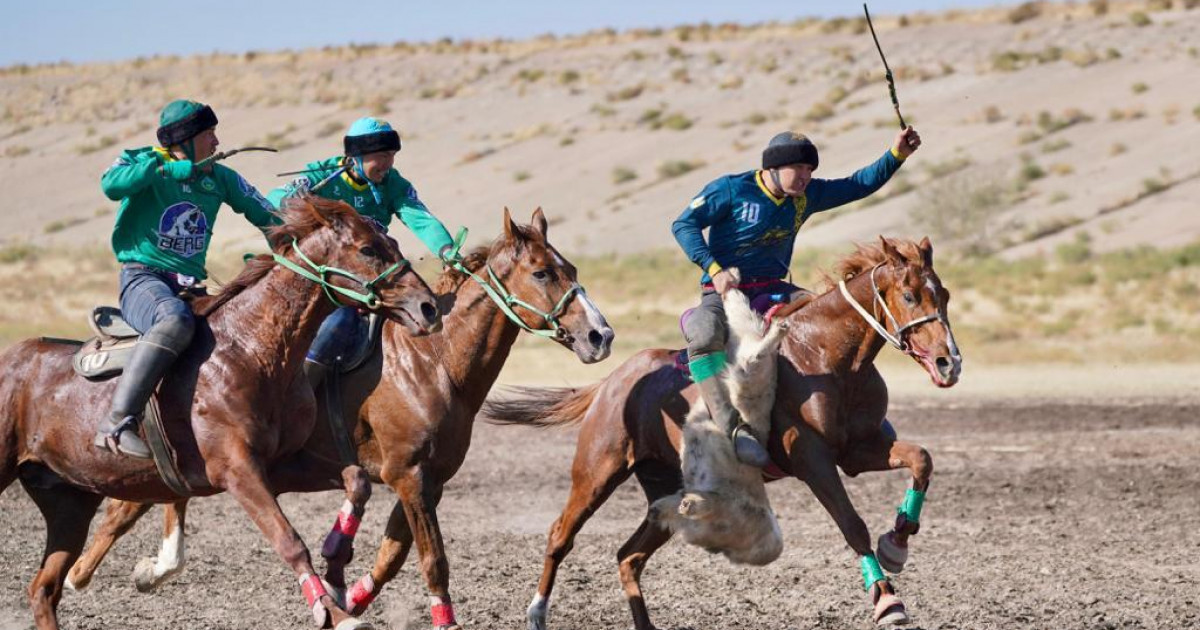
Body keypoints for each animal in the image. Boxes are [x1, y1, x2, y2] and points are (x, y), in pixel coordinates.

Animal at [0, 198, 441, 628]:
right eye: (367, 249)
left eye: (393, 243)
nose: (429, 307)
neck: (250, 351)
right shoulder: (237, 470)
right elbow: (289, 541)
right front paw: (333, 612)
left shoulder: (283, 464)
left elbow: (356, 480)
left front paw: (336, 573)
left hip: (69, 503)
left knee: (43, 589)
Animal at [60, 207, 614, 628]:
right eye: (543, 272)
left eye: (572, 269)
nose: (600, 335)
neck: (432, 362)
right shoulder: (408, 476)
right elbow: (432, 560)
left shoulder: (426, 481)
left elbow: (391, 558)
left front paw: (346, 593)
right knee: (135, 505)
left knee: (135, 504)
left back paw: (110, 572)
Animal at [482, 235, 960, 628]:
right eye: (909, 295)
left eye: (945, 294)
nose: (949, 363)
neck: (825, 357)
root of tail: (615, 380)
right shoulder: (812, 458)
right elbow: (851, 524)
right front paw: (887, 601)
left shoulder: (860, 450)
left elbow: (922, 459)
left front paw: (897, 542)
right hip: (597, 472)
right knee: (560, 535)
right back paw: (536, 612)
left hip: (664, 491)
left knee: (629, 556)